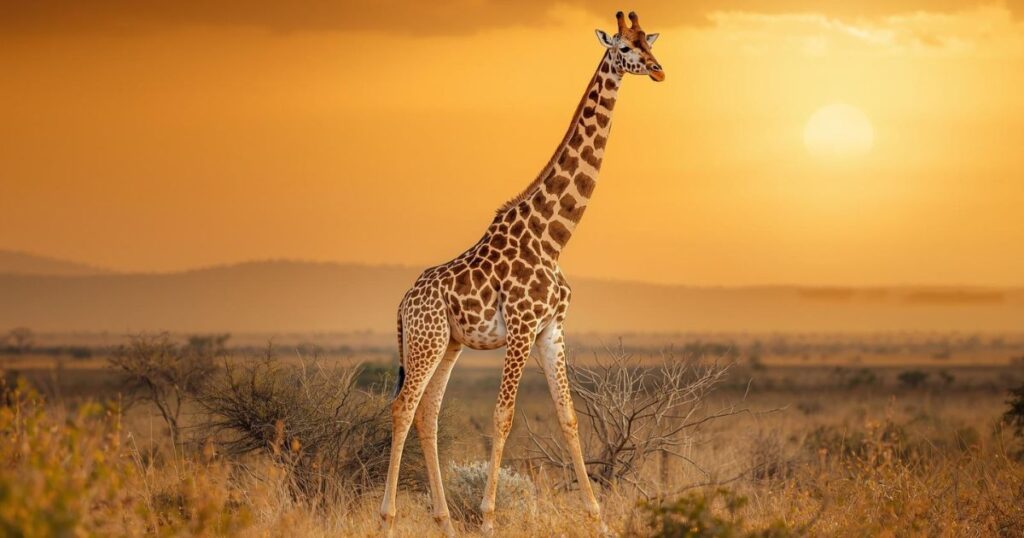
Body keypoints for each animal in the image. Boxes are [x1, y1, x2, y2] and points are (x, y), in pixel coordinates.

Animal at [379, 11, 664, 536]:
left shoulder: (552, 327)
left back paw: (444, 520)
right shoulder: (521, 326)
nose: (658, 69)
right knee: (403, 406)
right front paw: (489, 518)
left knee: (428, 412)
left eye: (650, 42)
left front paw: (599, 519)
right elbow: (503, 416)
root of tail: (404, 302)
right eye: (625, 48)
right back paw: (387, 517)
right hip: (427, 339)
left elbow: (569, 417)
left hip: (448, 342)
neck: (553, 237)